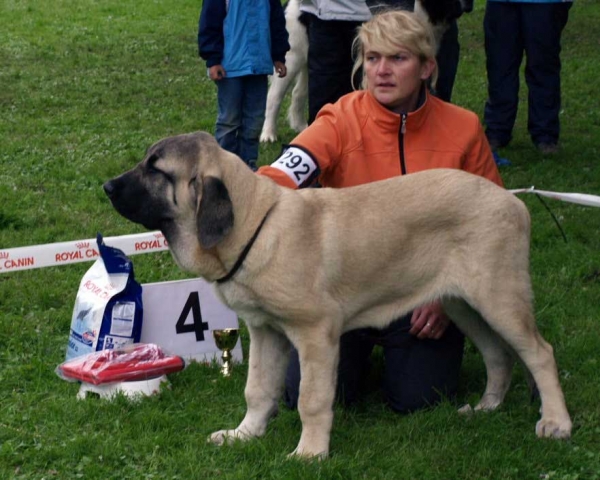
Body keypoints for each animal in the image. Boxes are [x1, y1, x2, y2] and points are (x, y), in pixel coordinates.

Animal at [103, 131, 572, 458]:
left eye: (157, 170)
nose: (107, 186)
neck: (255, 225)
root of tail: (512, 200)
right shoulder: (266, 332)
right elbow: (258, 389)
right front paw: (245, 434)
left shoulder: (315, 334)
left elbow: (311, 399)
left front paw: (310, 452)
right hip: (465, 305)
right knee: (498, 354)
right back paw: (487, 407)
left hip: (499, 296)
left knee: (540, 352)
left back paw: (555, 422)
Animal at [262, 0, 474, 142]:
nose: (467, 5)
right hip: (292, 58)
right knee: (274, 97)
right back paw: (268, 134)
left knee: (298, 93)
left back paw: (301, 126)